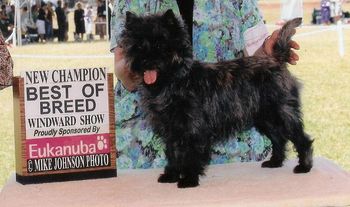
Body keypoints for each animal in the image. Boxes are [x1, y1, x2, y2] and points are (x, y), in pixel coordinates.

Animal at [119, 9, 314, 188]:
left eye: (160, 45)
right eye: (138, 46)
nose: (146, 61)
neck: (174, 81)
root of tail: (276, 60)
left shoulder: (194, 128)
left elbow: (191, 155)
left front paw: (189, 179)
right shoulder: (171, 130)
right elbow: (173, 153)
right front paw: (172, 175)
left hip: (282, 113)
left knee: (300, 138)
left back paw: (304, 166)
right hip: (265, 118)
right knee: (278, 138)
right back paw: (275, 162)